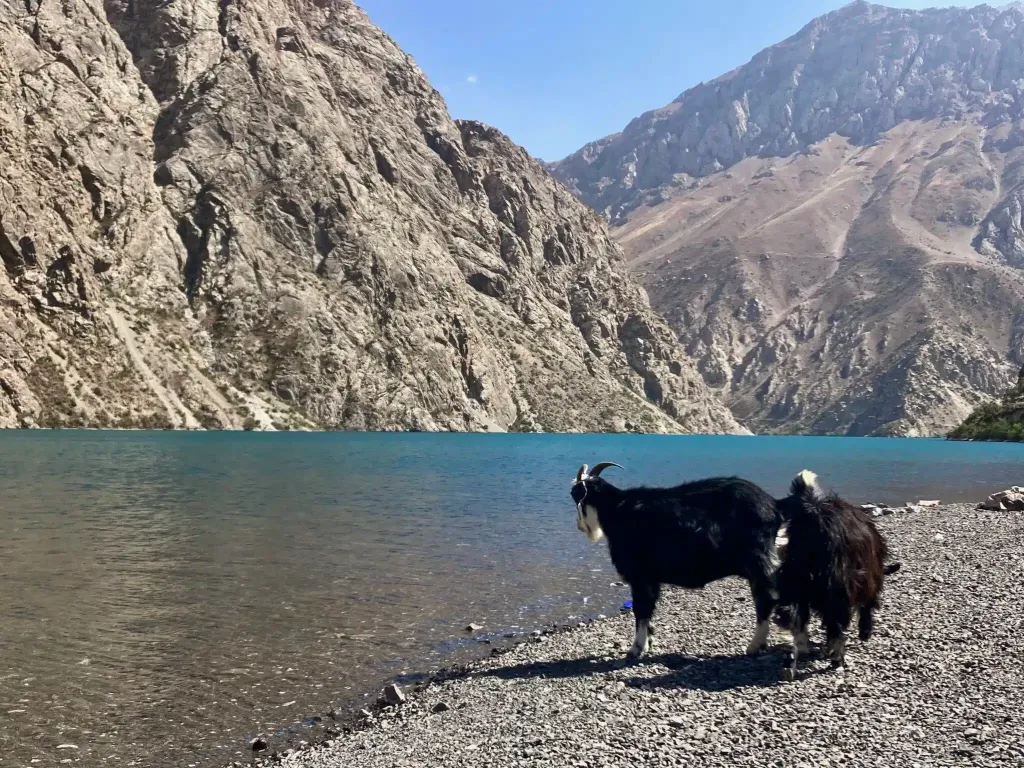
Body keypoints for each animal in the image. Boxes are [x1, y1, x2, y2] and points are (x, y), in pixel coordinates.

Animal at [569, 462, 782, 663]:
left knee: (766, 599)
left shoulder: (641, 577)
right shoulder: (651, 580)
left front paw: (636, 649)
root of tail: (774, 505)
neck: (616, 510)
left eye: (575, 494)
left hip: (757, 561)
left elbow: (641, 610)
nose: (578, 526)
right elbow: (648, 611)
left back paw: (755, 646)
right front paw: (648, 644)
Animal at [770, 468, 901, 679]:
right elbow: (866, 607)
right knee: (834, 625)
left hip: (795, 577)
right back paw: (836, 658)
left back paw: (792, 658)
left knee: (794, 616)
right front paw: (864, 633)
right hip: (837, 586)